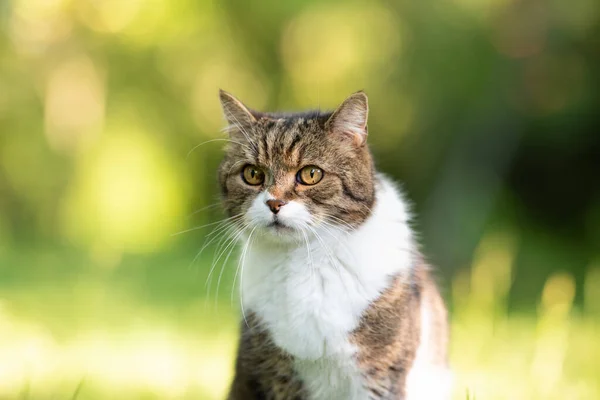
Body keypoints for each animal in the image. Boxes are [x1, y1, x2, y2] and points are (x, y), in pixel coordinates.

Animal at [216, 90, 450, 400]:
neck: (305, 262)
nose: (274, 203)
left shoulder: (379, 372)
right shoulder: (277, 372)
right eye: (252, 174)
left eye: (311, 174)